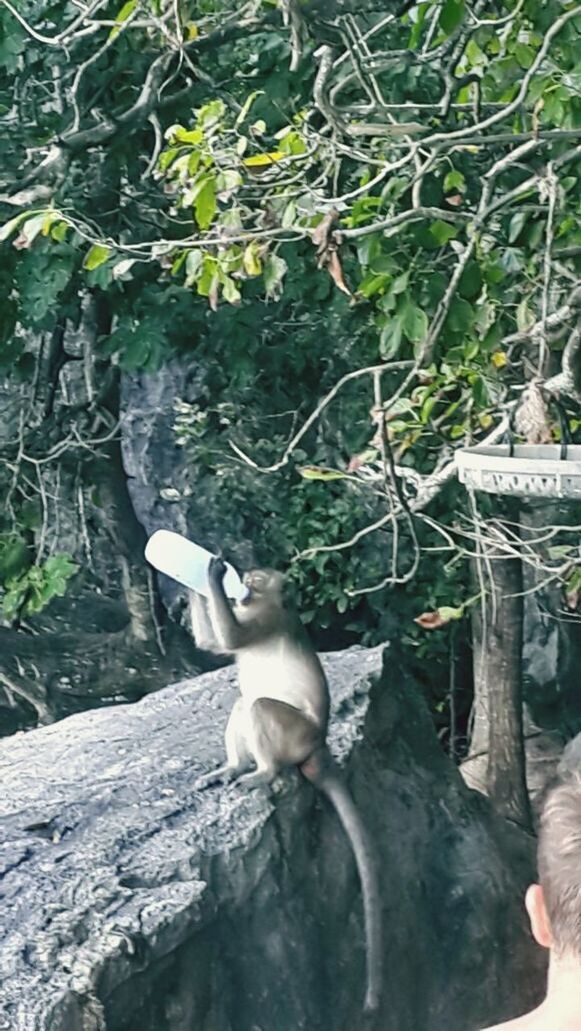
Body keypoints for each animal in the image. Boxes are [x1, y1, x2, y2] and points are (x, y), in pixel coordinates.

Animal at [189, 560, 381, 1010]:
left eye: (255, 581)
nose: (241, 587)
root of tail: (319, 743)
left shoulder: (266, 617)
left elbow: (230, 638)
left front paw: (209, 573)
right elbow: (213, 642)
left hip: (294, 734)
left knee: (258, 706)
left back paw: (264, 772)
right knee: (243, 704)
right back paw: (232, 767)